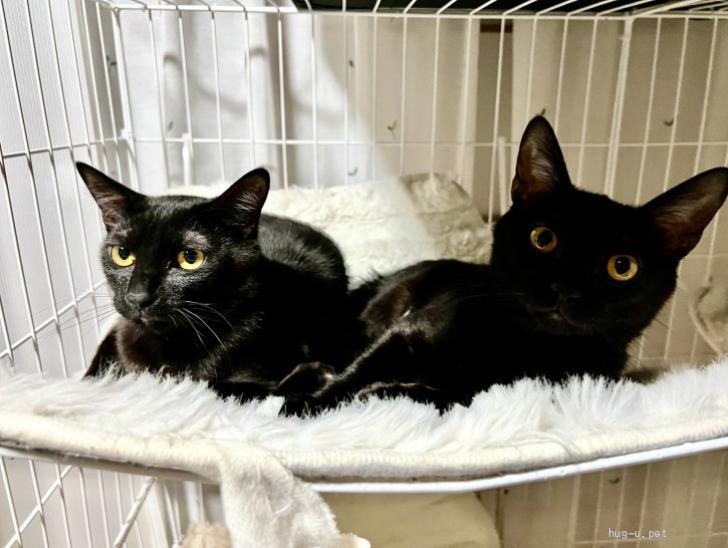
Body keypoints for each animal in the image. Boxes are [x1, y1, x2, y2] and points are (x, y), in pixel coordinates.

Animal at [78, 163, 353, 400]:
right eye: (123, 254)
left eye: (190, 258)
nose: (137, 297)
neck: (169, 344)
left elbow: (215, 385)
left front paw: (315, 374)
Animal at [281, 115, 728, 414]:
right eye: (543, 238)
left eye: (623, 267)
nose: (565, 289)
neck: (521, 344)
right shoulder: (406, 332)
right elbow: (358, 371)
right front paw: (311, 404)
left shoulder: (499, 390)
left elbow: (432, 393)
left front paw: (379, 392)